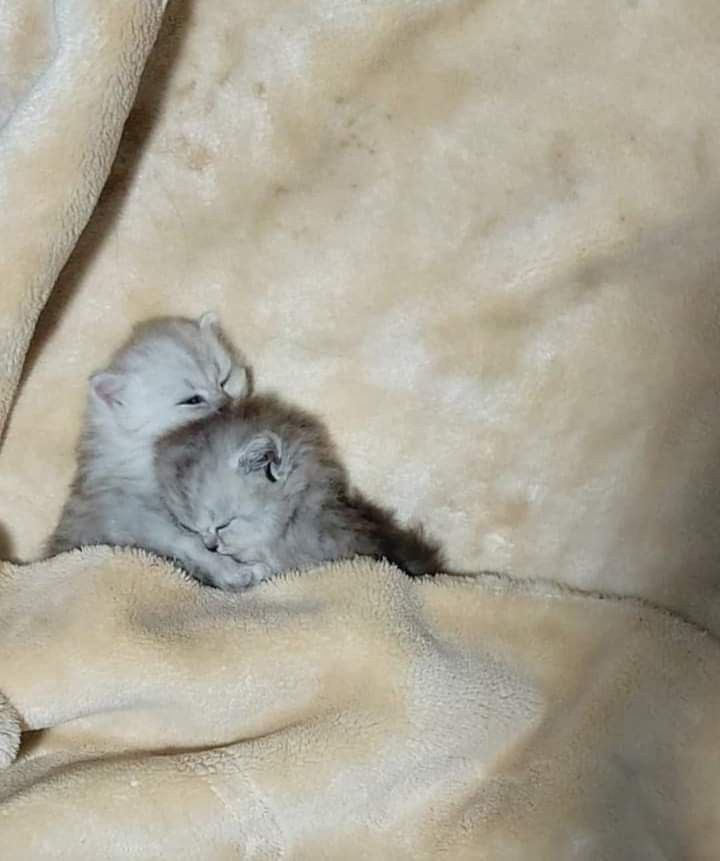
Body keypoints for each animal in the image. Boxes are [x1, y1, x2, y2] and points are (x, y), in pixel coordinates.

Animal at [43, 314, 262, 592]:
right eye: (191, 400)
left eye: (224, 380)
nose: (226, 405)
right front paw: (233, 570)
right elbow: (191, 542)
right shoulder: (141, 518)